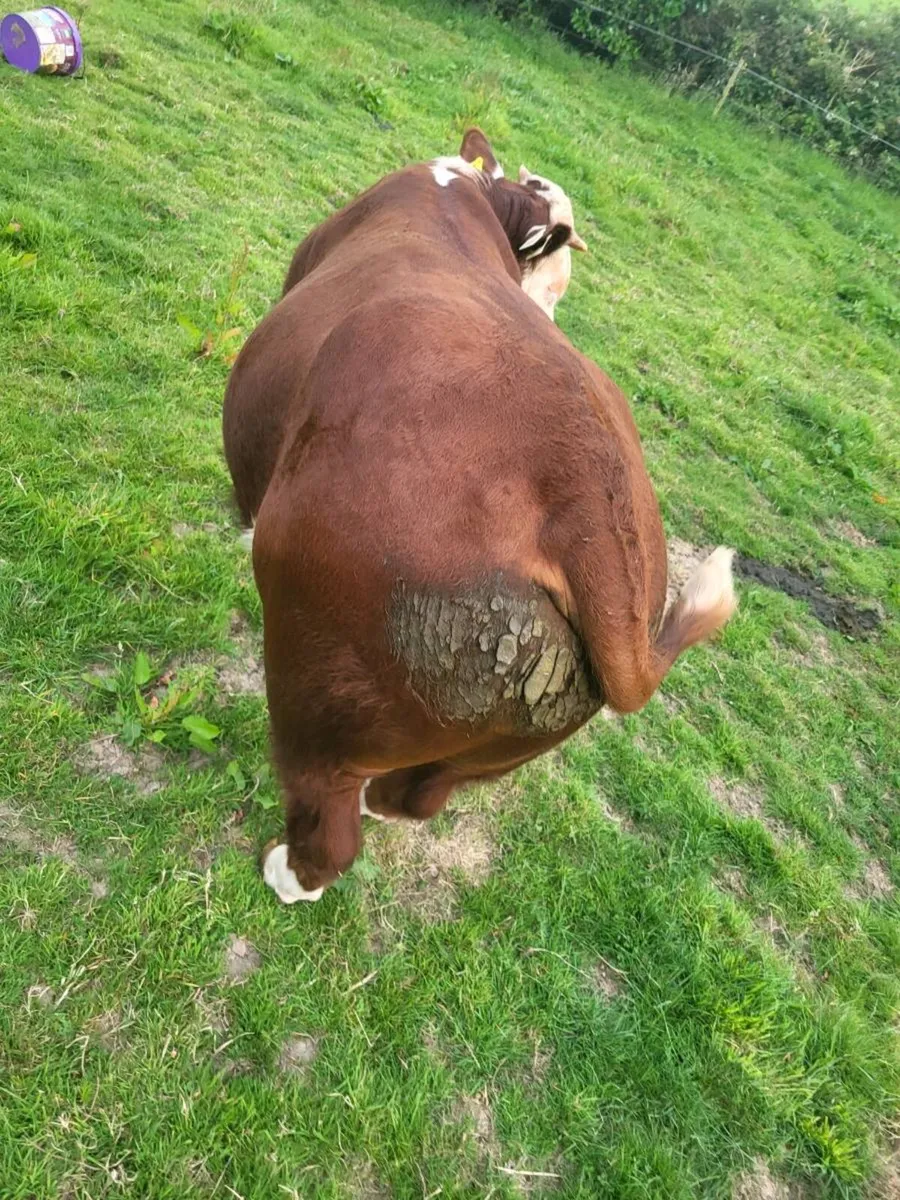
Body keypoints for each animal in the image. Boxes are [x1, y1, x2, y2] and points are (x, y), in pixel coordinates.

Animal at [222, 128, 737, 905]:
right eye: (552, 269)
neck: (469, 189)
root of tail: (587, 494)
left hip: (320, 670)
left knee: (331, 813)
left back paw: (290, 874)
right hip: (504, 729)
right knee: (419, 796)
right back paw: (386, 803)